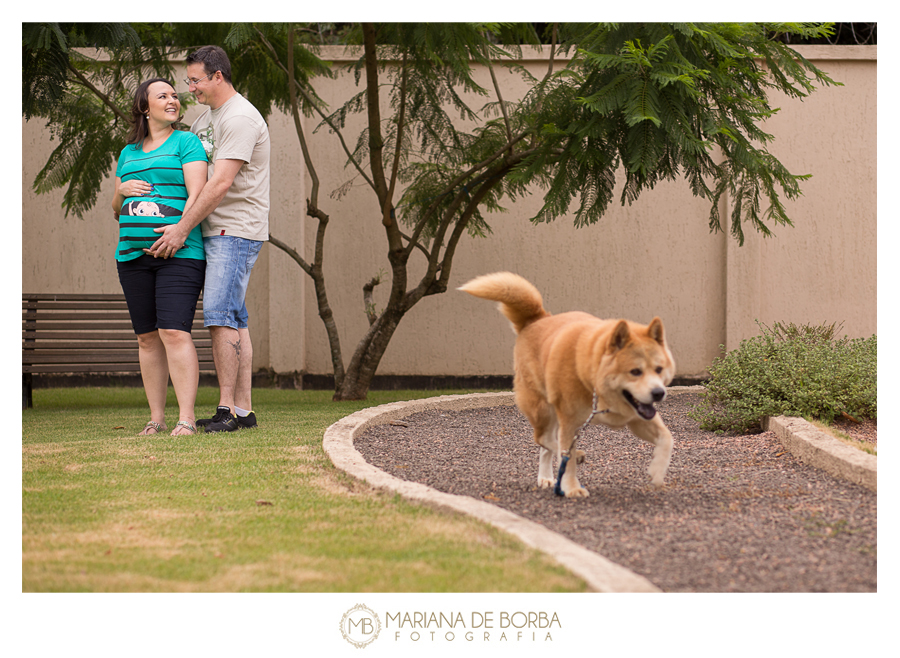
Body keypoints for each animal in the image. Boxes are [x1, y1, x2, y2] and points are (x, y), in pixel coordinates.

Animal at [460, 272, 672, 498]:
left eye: (659, 369)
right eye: (635, 372)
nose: (658, 393)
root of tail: (536, 319)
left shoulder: (637, 418)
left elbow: (667, 439)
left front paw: (657, 472)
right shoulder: (569, 421)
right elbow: (566, 456)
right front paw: (572, 487)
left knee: (546, 445)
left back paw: (546, 477)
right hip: (542, 409)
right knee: (544, 439)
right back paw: (572, 457)